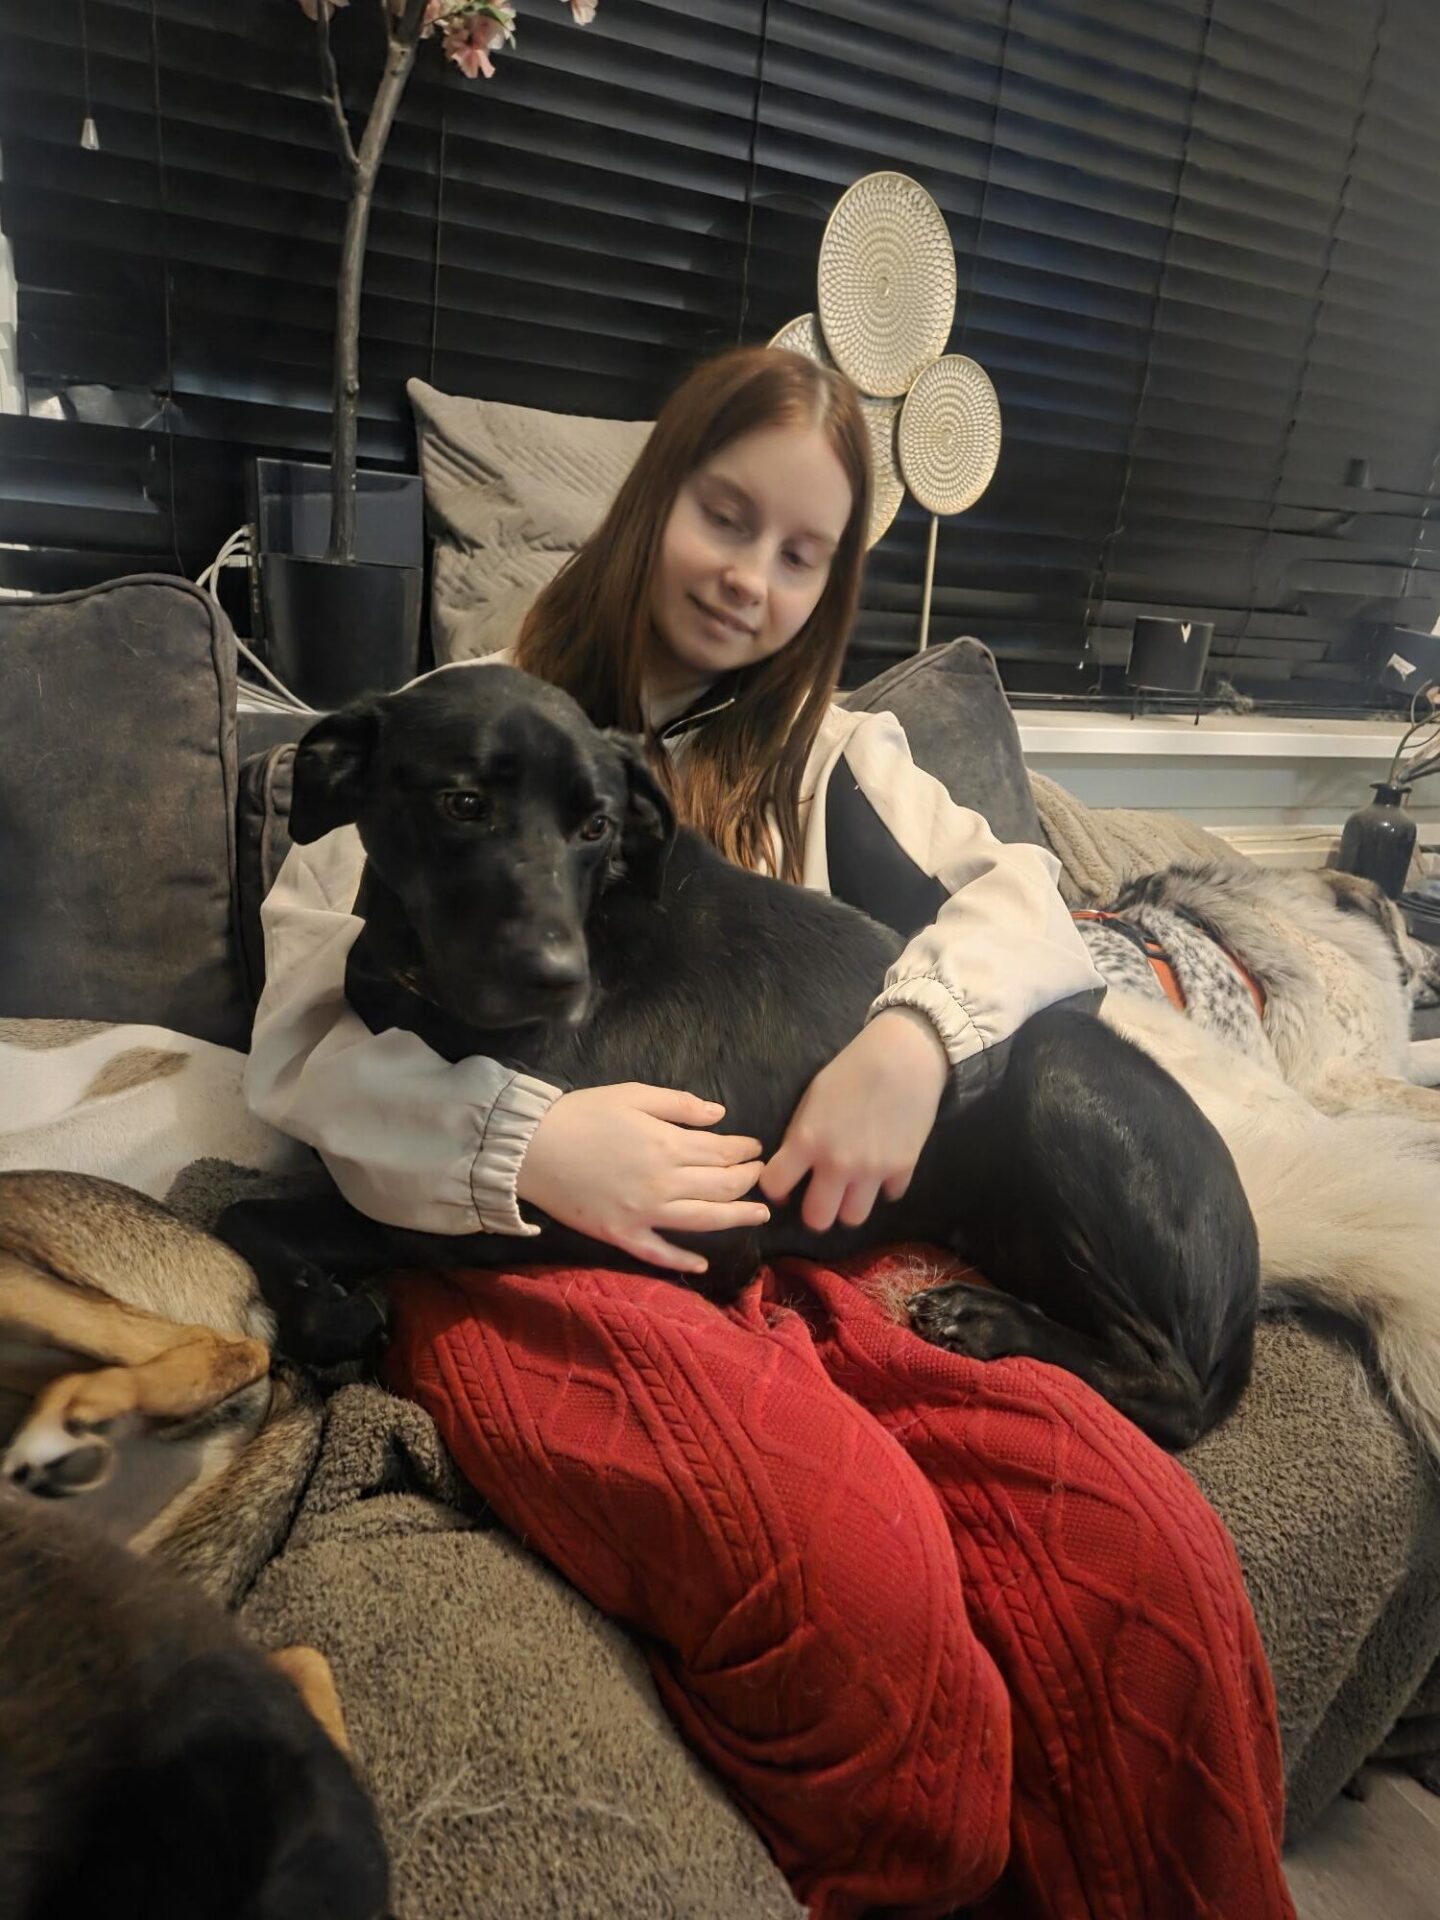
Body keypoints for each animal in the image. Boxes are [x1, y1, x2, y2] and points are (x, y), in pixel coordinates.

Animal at [221, 665, 1263, 1453]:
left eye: (597, 825)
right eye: (462, 803)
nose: (560, 979)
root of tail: (1249, 1299)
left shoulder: (661, 1228)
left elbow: (309, 1214)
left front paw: (337, 1309)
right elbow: (252, 1210)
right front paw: (326, 1306)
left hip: (1057, 1074)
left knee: (1167, 1387)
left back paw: (984, 1320)